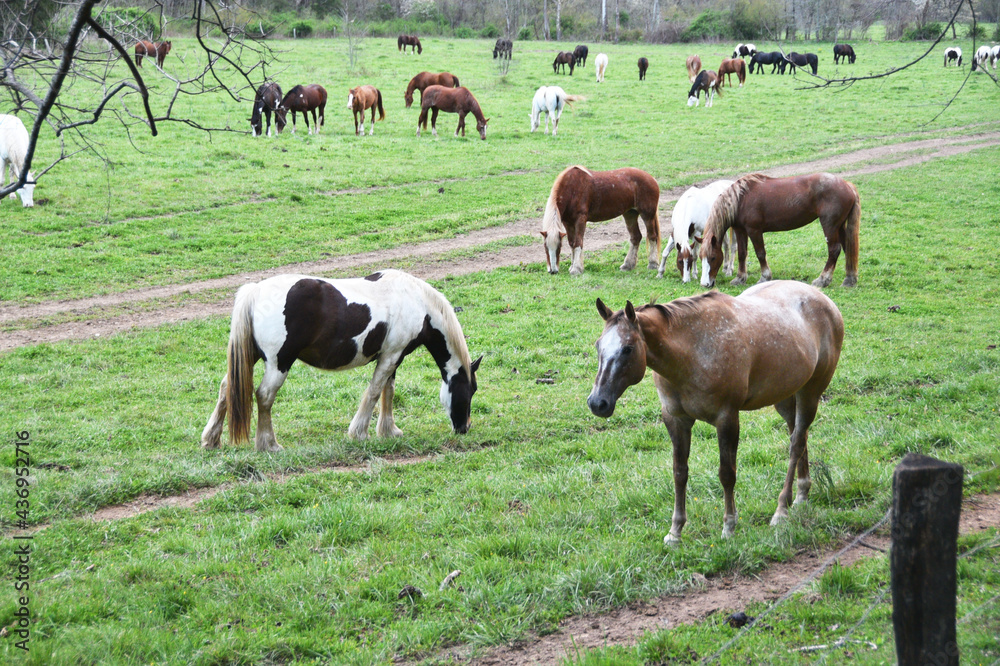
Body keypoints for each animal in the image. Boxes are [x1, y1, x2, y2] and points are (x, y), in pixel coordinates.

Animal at [201, 270, 482, 452]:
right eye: (471, 390)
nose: (465, 428)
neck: (418, 304)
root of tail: (254, 292)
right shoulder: (391, 356)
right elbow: (375, 391)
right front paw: (359, 433)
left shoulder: (393, 356)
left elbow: (388, 391)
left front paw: (389, 431)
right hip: (279, 363)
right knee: (264, 396)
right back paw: (268, 444)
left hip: (249, 357)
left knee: (226, 388)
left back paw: (211, 439)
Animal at [584, 278, 844, 540]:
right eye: (598, 346)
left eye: (627, 348)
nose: (597, 403)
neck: (692, 352)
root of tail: (824, 300)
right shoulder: (676, 419)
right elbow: (680, 473)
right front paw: (675, 531)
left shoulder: (726, 418)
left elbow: (727, 473)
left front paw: (729, 526)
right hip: (785, 399)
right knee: (799, 437)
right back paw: (802, 495)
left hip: (810, 394)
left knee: (796, 444)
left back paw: (781, 510)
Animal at [696, 172, 860, 286]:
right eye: (700, 257)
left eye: (713, 257)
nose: (705, 284)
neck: (740, 199)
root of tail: (847, 185)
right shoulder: (740, 230)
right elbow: (742, 254)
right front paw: (740, 278)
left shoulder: (754, 230)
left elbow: (760, 253)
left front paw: (765, 277)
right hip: (840, 226)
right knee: (847, 248)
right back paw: (849, 279)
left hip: (830, 226)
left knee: (834, 250)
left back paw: (823, 279)